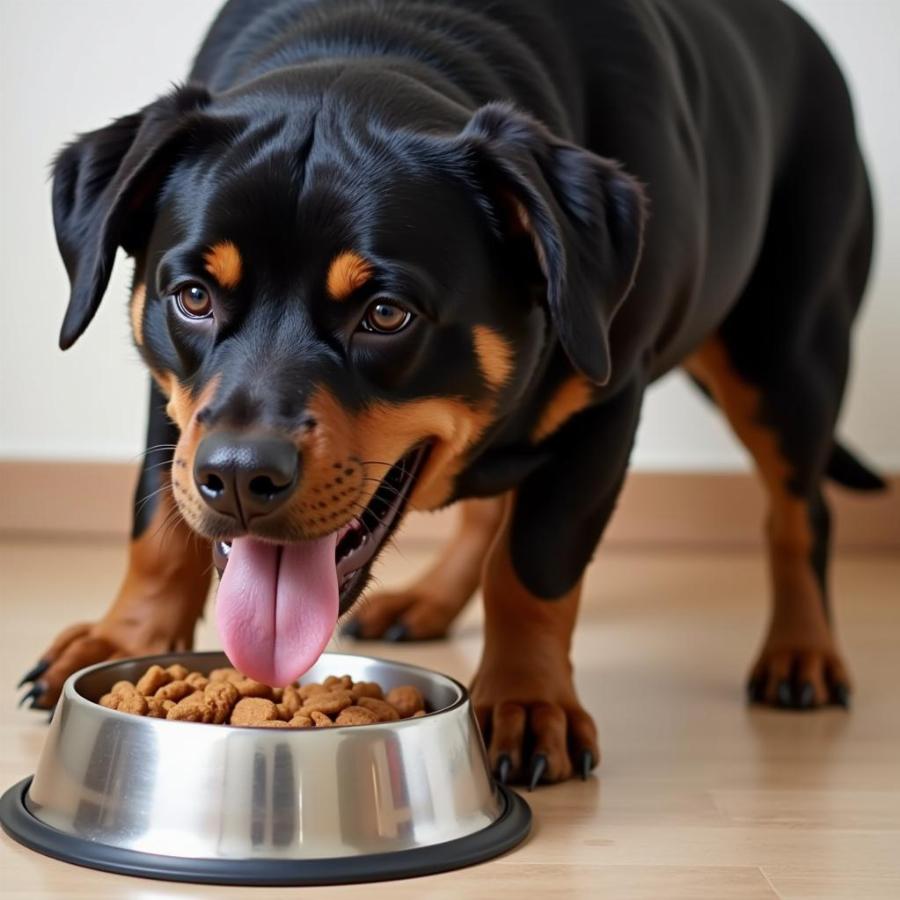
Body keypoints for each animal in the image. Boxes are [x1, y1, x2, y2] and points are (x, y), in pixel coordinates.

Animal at [17, 0, 884, 784]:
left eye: (385, 313)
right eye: (193, 296)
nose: (237, 476)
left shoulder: (607, 404)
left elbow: (535, 568)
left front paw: (529, 702)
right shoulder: (170, 403)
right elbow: (156, 527)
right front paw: (126, 640)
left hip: (786, 355)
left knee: (800, 510)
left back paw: (801, 650)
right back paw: (428, 599)